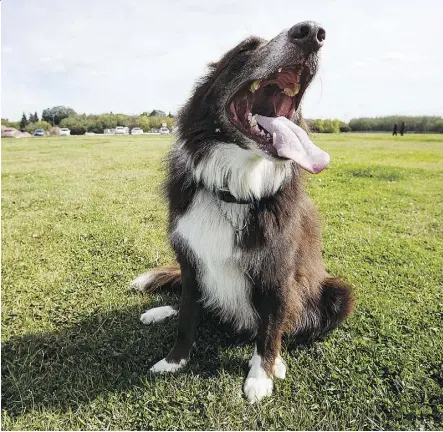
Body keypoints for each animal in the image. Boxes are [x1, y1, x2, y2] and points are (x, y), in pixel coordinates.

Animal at [130, 20, 356, 404]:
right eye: (245, 49)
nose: (312, 32)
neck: (236, 190)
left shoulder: (277, 272)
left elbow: (270, 329)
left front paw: (261, 375)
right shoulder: (191, 259)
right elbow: (188, 315)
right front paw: (174, 361)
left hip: (338, 293)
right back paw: (160, 311)